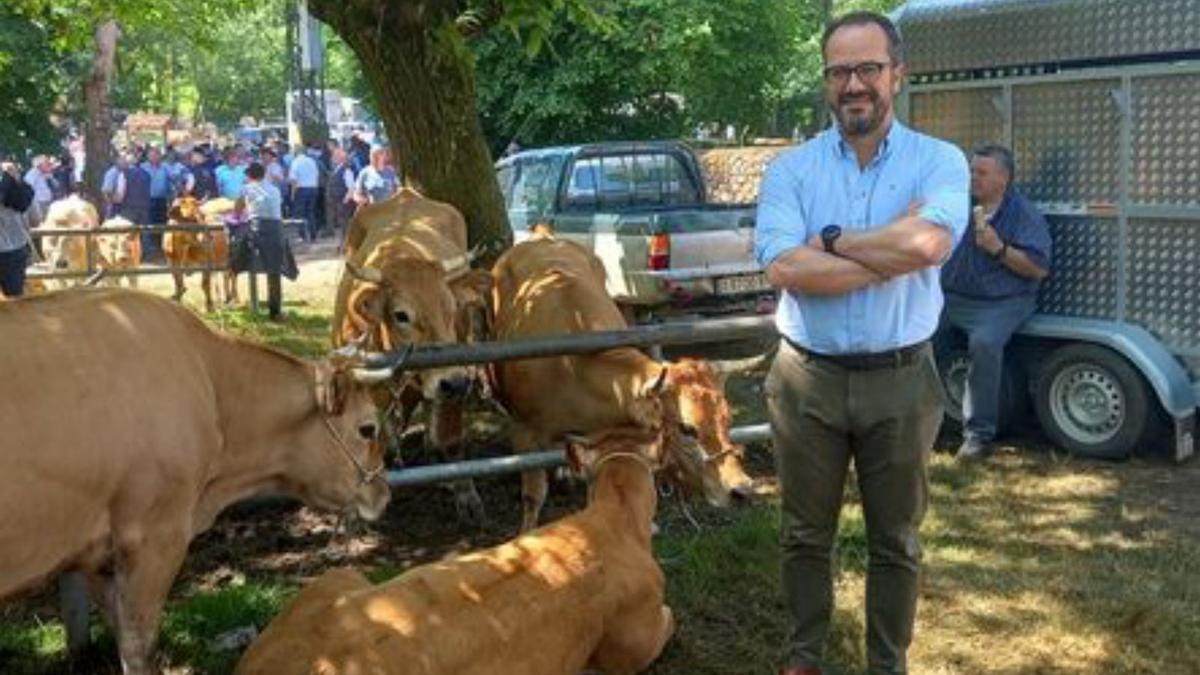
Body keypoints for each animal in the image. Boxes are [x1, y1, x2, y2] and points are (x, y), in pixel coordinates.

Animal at [489, 234, 748, 528]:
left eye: (728, 419)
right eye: (687, 428)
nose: (741, 489)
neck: (572, 365)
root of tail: (541, 236)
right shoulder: (524, 433)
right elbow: (533, 496)